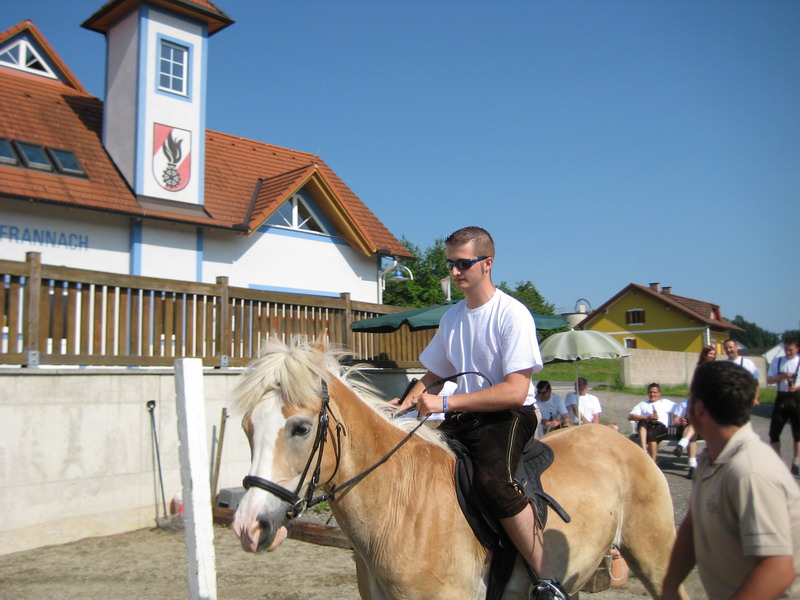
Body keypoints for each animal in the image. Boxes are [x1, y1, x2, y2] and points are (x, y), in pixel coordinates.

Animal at [231, 337, 687, 600]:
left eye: (301, 428)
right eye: (247, 426)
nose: (249, 527)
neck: (399, 504)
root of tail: (623, 442)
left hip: (654, 555)